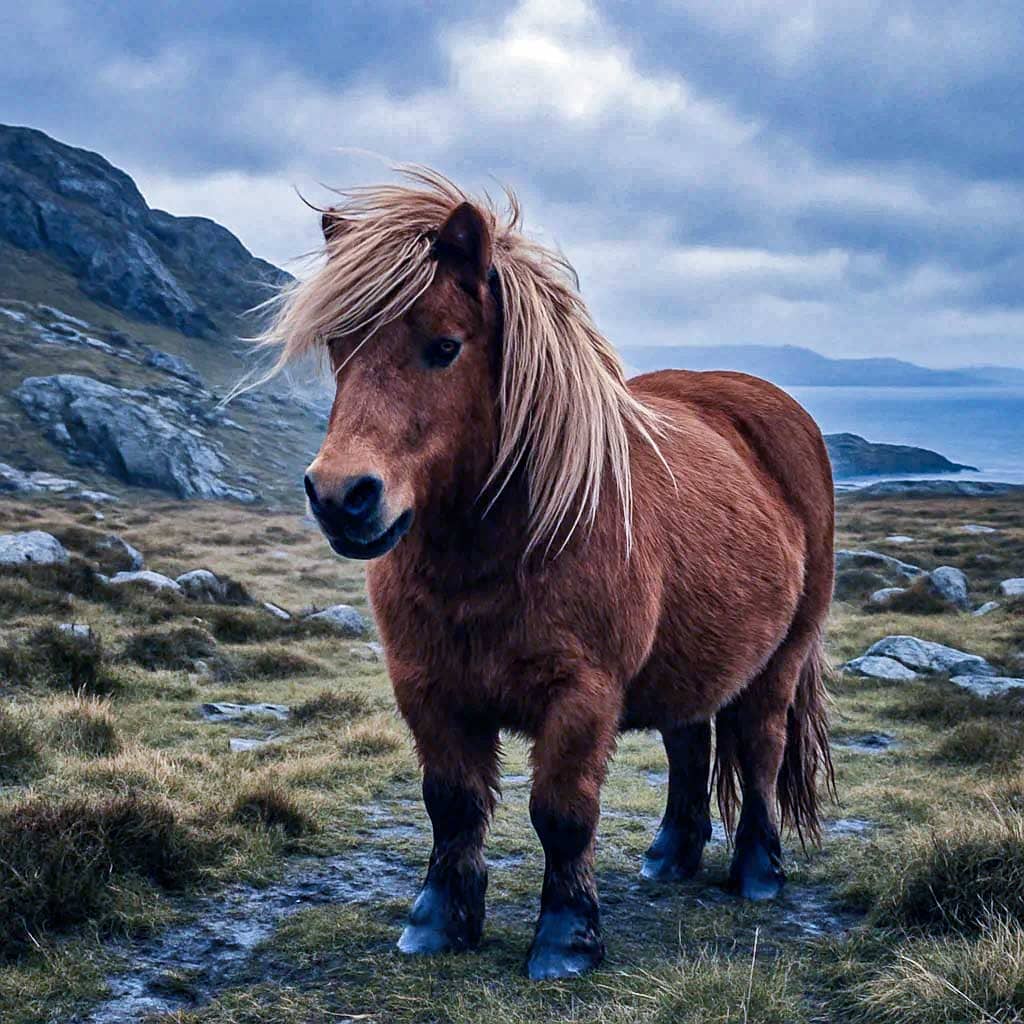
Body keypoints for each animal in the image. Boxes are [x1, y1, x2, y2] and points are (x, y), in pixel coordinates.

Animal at [259, 168, 835, 980]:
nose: (343, 497)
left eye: (445, 346)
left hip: (780, 660)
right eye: (340, 348)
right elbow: (452, 803)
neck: (502, 551)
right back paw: (670, 857)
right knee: (689, 747)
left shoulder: (582, 694)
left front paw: (566, 939)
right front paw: (437, 923)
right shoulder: (426, 687)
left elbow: (562, 812)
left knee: (758, 749)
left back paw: (758, 873)